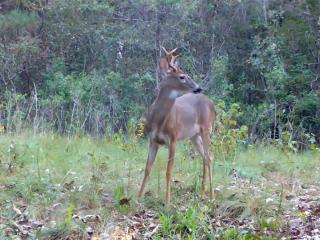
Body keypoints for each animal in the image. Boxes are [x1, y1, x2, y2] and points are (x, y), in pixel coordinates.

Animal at [138, 47, 216, 206]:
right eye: (182, 76)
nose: (199, 88)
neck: (158, 121)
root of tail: (212, 104)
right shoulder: (152, 140)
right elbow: (147, 168)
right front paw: (139, 197)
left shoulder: (173, 138)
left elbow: (169, 171)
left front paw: (167, 202)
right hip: (194, 135)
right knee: (205, 157)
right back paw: (202, 194)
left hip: (207, 128)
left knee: (210, 156)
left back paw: (211, 196)